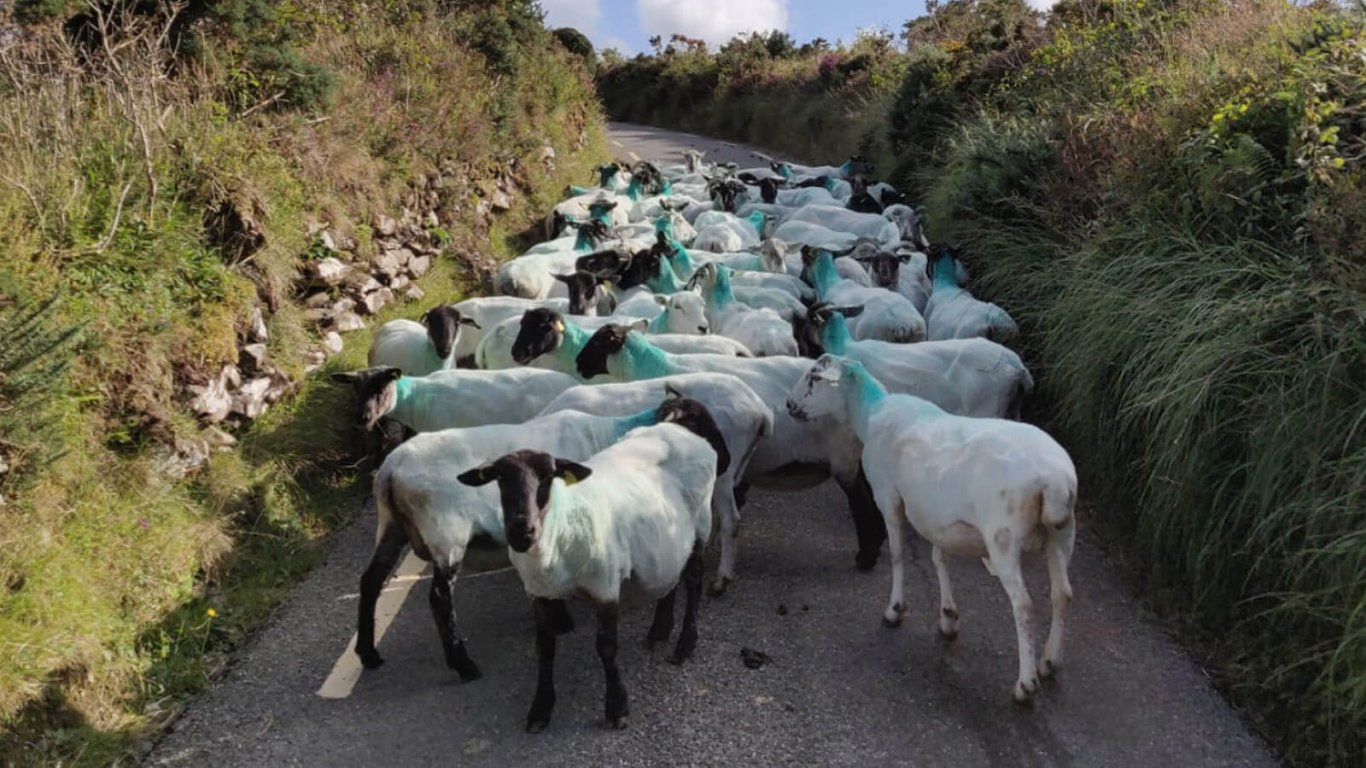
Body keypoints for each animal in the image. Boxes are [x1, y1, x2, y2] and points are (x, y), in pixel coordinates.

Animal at [458, 407, 732, 727]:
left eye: (548, 477)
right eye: (499, 479)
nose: (521, 530)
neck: (559, 529)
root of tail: (679, 428)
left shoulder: (605, 585)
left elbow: (607, 648)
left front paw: (617, 707)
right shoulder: (539, 593)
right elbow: (545, 648)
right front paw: (541, 708)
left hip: (701, 525)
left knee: (694, 582)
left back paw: (685, 645)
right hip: (666, 539)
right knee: (670, 578)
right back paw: (659, 631)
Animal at [792, 352, 1076, 699]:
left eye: (814, 377)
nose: (790, 406)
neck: (871, 413)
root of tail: (1054, 480)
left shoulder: (888, 497)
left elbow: (898, 555)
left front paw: (895, 610)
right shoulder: (937, 516)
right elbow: (938, 558)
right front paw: (948, 618)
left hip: (1004, 537)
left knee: (1023, 605)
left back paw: (1026, 684)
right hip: (1062, 533)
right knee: (1062, 595)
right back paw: (1050, 662)